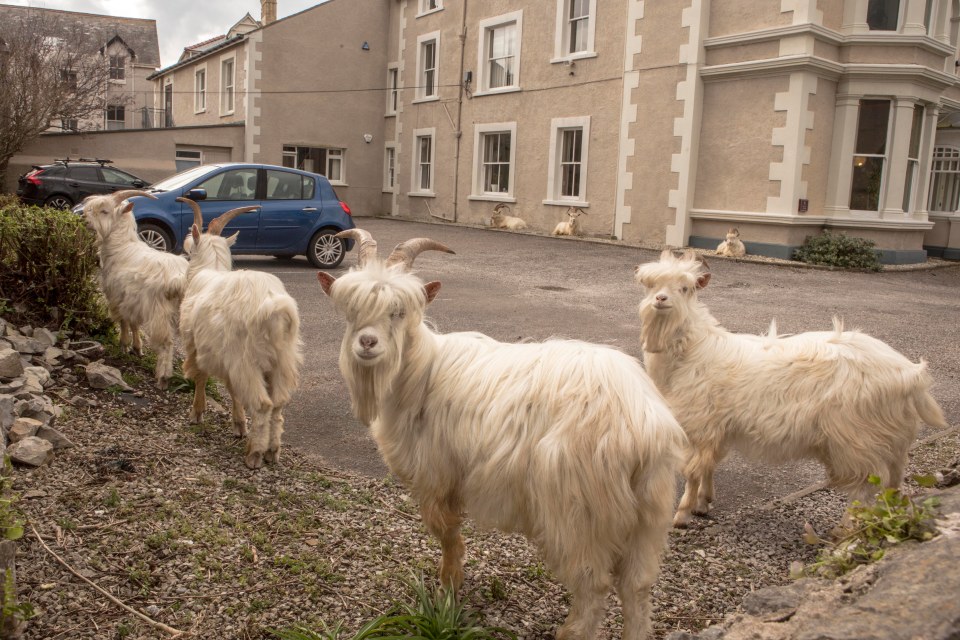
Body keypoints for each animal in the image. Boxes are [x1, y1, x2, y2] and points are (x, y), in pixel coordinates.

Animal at [83, 189, 188, 390]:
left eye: (105, 211)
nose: (84, 220)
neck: (121, 247)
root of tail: (181, 278)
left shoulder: (116, 296)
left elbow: (124, 321)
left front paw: (123, 345)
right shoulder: (133, 301)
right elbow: (134, 323)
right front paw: (137, 348)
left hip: (160, 313)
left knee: (167, 343)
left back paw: (163, 378)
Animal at [178, 198, 302, 468]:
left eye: (189, 251)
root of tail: (274, 306)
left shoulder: (198, 345)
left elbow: (201, 377)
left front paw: (196, 413)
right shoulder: (225, 358)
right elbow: (233, 390)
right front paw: (239, 425)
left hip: (247, 359)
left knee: (263, 404)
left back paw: (254, 454)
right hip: (282, 361)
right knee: (278, 404)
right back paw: (272, 451)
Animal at [318, 230, 688, 640]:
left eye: (398, 312)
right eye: (351, 312)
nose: (367, 343)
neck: (420, 370)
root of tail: (644, 424)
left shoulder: (436, 477)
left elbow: (447, 534)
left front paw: (449, 588)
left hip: (577, 513)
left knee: (594, 585)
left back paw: (569, 631)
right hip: (648, 514)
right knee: (637, 586)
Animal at [632, 248, 948, 528]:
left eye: (686, 288)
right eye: (650, 285)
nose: (661, 299)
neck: (694, 349)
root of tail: (910, 374)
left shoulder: (700, 424)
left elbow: (693, 471)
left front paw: (683, 514)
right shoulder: (718, 428)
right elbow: (709, 465)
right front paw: (703, 503)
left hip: (856, 439)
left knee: (865, 485)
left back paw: (845, 529)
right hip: (894, 440)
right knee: (893, 482)